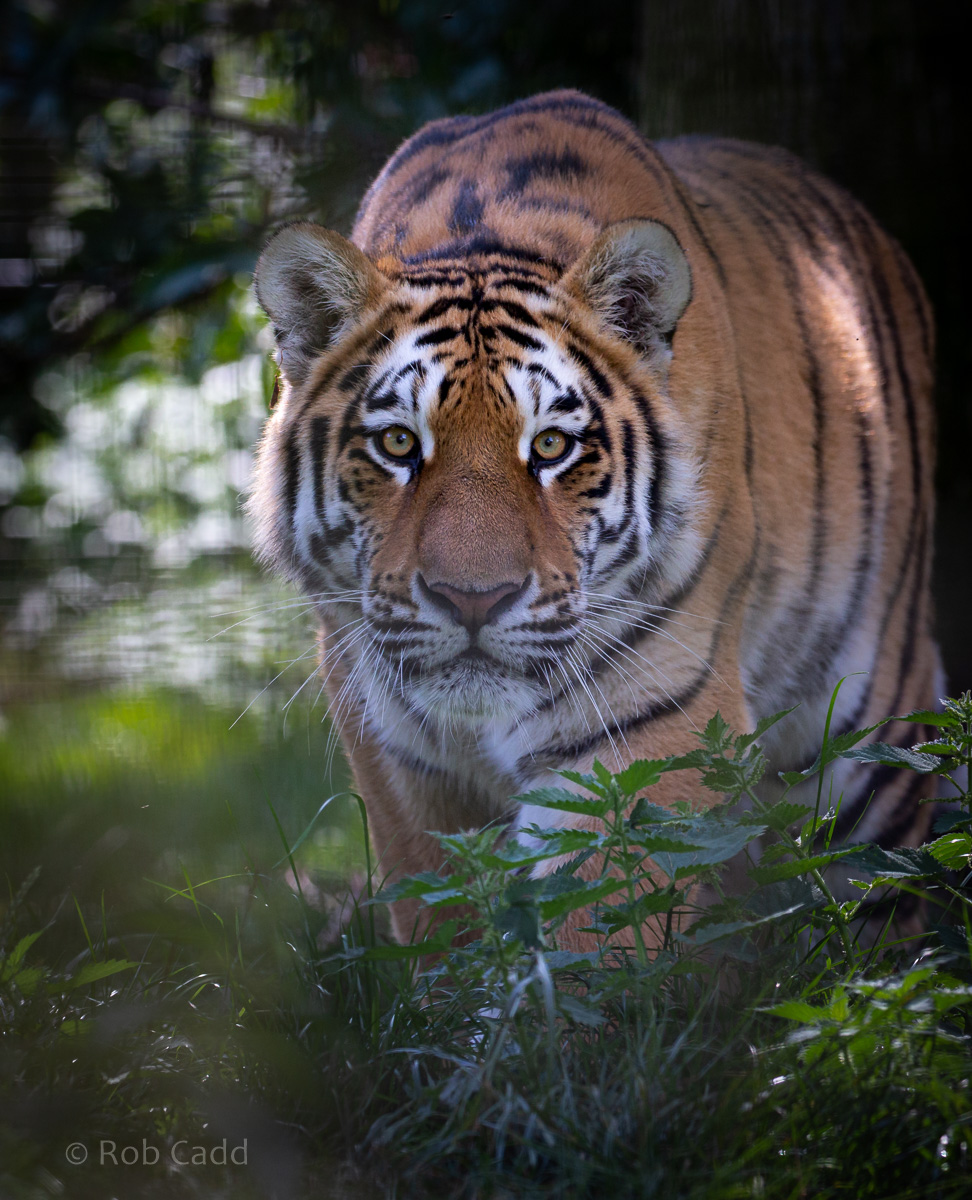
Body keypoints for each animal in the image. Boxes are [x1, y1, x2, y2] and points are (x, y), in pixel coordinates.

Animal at [249, 89, 941, 948]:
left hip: (876, 747)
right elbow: (450, 930)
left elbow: (602, 931)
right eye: (399, 443)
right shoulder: (398, 756)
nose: (472, 600)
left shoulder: (646, 728)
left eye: (551, 446)